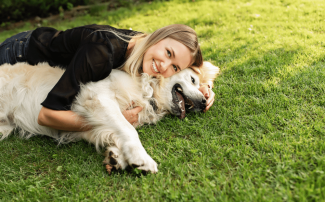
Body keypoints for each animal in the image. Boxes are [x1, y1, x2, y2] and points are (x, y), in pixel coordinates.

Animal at [0, 62, 219, 174]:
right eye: (193, 79)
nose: (202, 102)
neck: (148, 91)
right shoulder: (96, 97)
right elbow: (128, 131)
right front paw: (141, 159)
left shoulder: (87, 124)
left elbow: (111, 133)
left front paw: (116, 157)